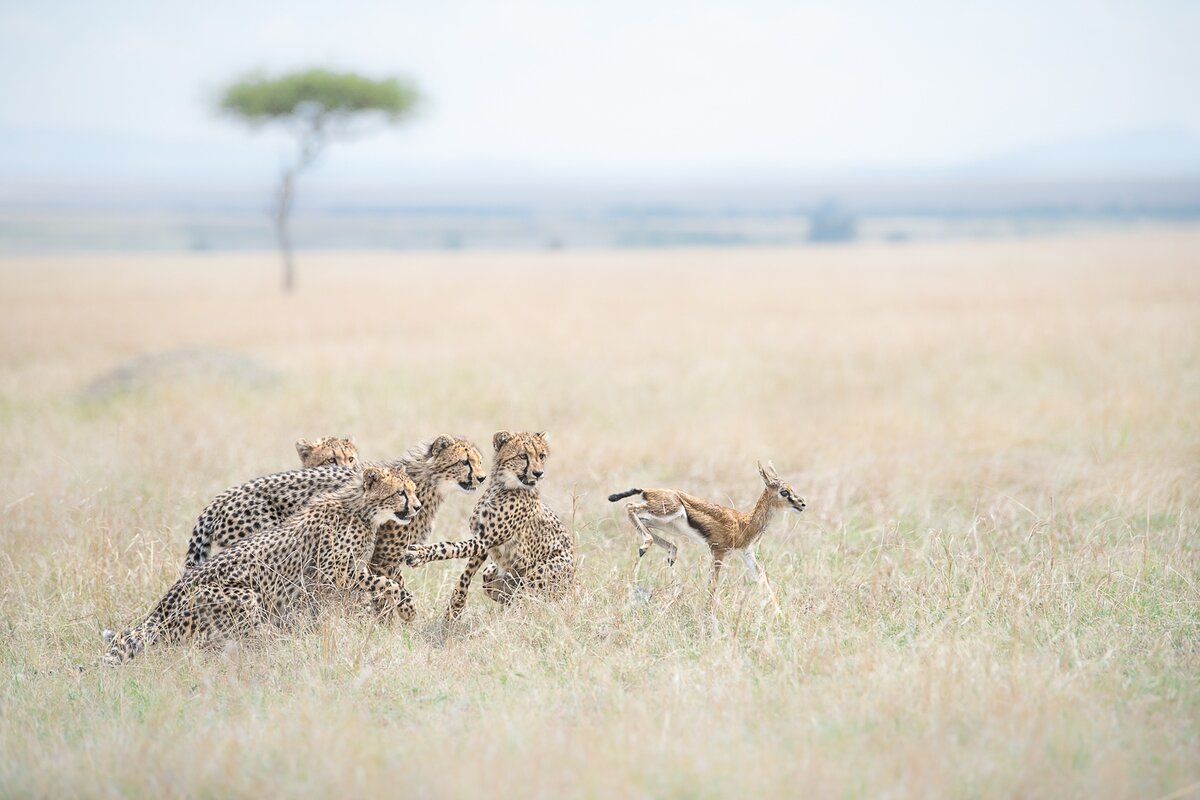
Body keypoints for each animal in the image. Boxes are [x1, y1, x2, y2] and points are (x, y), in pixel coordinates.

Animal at [104, 462, 422, 662]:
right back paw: (274, 641)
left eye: (414, 490)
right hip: (244, 596)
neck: (361, 509)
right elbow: (388, 584)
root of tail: (162, 606)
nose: (417, 507)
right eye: (400, 492)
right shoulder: (333, 573)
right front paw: (407, 608)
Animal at [405, 431, 573, 618]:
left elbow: (449, 547)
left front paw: (419, 554)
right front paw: (455, 608)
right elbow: (465, 575)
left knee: (527, 600)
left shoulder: (486, 539)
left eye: (542, 456)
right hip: (492, 573)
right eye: (523, 456)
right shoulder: (482, 541)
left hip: (538, 574)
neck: (501, 486)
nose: (538, 473)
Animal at [609, 460, 806, 609]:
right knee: (630, 507)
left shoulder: (746, 553)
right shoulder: (718, 551)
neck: (743, 523)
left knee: (652, 530)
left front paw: (778, 613)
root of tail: (647, 490)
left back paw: (668, 555)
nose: (802, 504)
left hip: (660, 522)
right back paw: (644, 548)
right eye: (784, 491)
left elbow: (762, 577)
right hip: (668, 512)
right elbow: (713, 586)